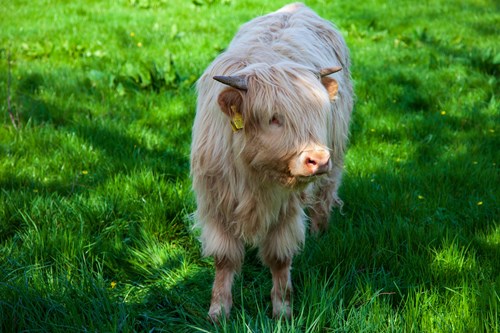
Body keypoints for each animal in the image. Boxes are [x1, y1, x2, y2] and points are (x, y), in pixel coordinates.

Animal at [189, 1, 354, 320]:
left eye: (319, 113)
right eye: (274, 118)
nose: (318, 159)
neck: (254, 172)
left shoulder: (287, 209)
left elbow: (279, 258)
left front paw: (283, 311)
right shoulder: (215, 200)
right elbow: (224, 259)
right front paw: (218, 311)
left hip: (336, 160)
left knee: (324, 197)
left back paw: (320, 234)